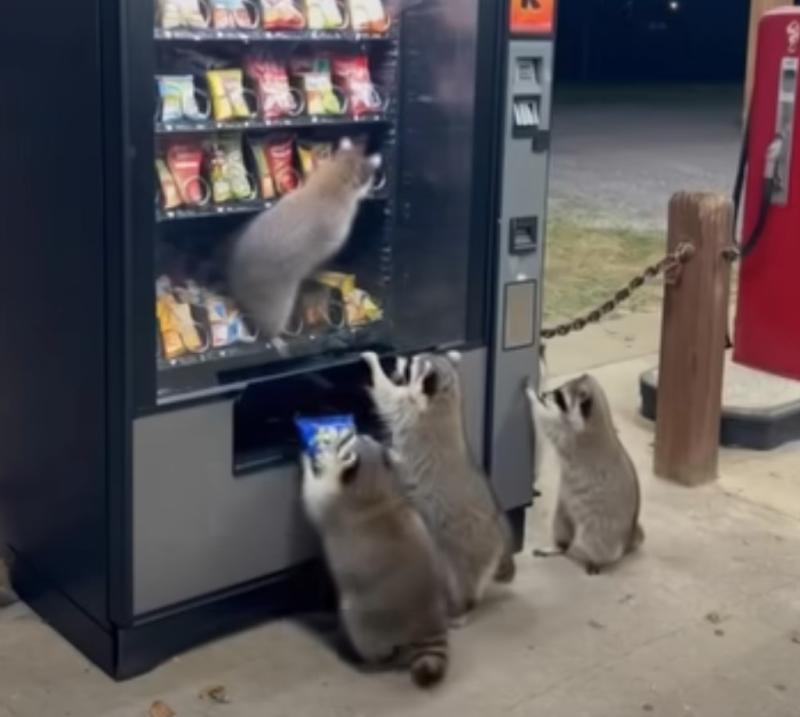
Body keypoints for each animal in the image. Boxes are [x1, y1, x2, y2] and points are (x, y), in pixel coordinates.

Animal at [301, 430, 449, 688]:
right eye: (362, 437)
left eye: (346, 441)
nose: (358, 431)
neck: (378, 489)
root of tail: (429, 627)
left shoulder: (335, 504)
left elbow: (313, 497)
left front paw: (312, 464)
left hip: (363, 620)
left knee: (379, 651)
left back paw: (365, 661)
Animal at [362, 351, 516, 624]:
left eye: (410, 366)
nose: (398, 358)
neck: (446, 396)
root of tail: (500, 534)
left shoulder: (411, 415)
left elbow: (387, 396)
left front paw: (373, 364)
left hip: (468, 547)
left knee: (460, 579)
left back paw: (462, 607)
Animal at [527, 373, 644, 575]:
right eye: (558, 390)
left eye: (559, 396)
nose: (544, 394)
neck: (599, 415)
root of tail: (628, 536)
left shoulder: (573, 438)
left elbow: (548, 424)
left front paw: (533, 398)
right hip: (565, 508)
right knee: (562, 527)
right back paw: (560, 546)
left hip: (603, 527)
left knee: (598, 545)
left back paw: (597, 559)